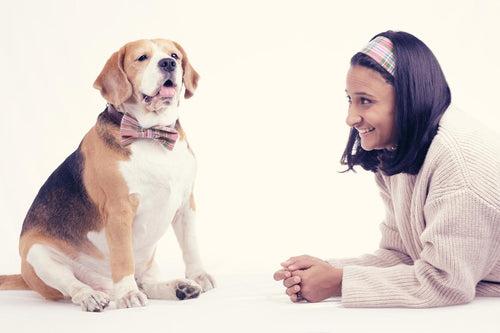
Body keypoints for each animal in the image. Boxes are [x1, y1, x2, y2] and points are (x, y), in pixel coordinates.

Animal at [0, 39, 215, 312]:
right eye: (142, 58)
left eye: (174, 55)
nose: (168, 63)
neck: (151, 135)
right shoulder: (119, 211)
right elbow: (123, 258)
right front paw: (128, 295)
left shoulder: (186, 204)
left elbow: (191, 246)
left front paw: (199, 275)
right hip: (38, 255)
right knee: (76, 286)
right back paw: (94, 296)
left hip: (148, 260)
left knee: (145, 283)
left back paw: (178, 287)